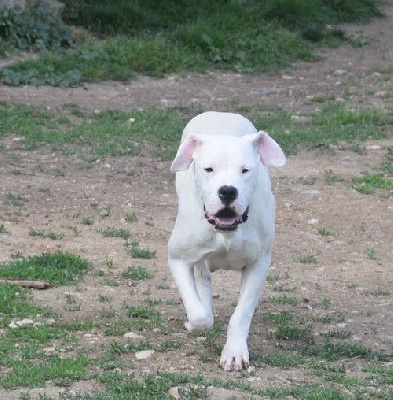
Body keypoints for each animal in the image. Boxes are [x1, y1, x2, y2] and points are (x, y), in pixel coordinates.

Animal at [166, 111, 284, 370]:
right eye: (208, 169)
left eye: (245, 170)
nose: (228, 191)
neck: (226, 230)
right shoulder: (177, 258)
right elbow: (199, 315)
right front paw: (194, 323)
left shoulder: (259, 264)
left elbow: (241, 314)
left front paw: (235, 352)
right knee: (203, 278)